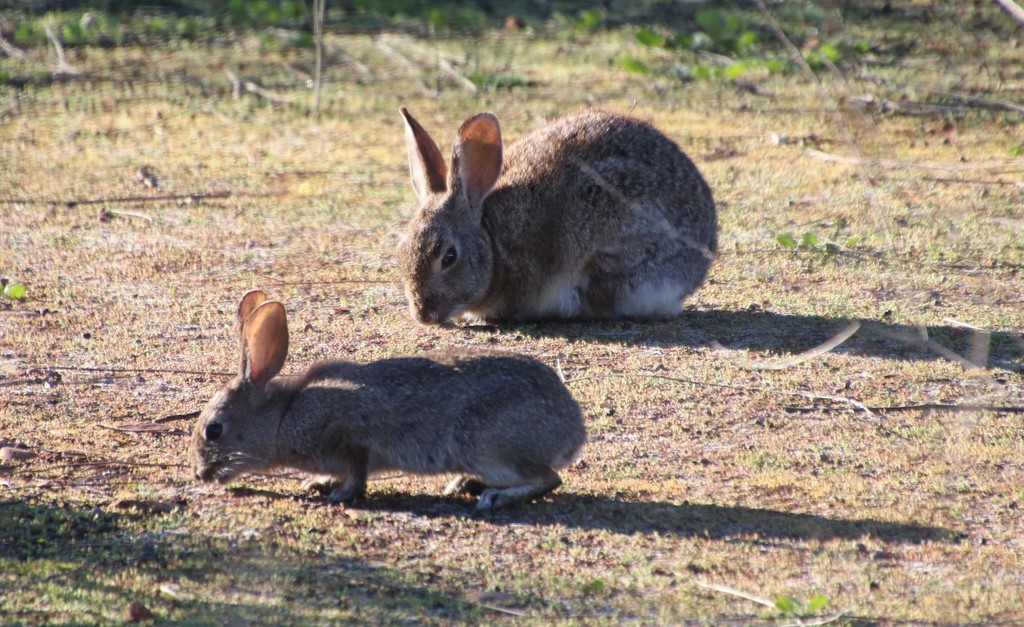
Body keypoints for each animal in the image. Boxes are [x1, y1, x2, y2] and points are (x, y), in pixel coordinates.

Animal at [190, 290, 586, 510]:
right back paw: (465, 485)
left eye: (214, 430)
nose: (199, 474)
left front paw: (339, 494)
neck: (283, 418)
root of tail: (573, 432)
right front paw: (318, 484)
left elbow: (358, 470)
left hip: (488, 449)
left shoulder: (350, 437)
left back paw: (494, 497)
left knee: (549, 478)